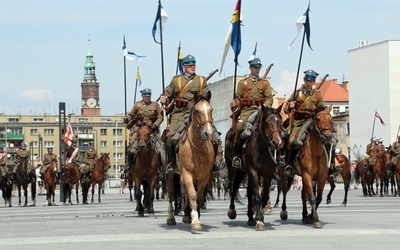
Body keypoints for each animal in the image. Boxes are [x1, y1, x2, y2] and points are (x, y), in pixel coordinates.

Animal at [166, 92, 216, 230]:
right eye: (197, 111)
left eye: (211, 110)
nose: (208, 133)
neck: (197, 147)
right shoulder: (186, 173)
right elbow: (192, 194)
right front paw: (195, 222)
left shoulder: (204, 175)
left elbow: (198, 196)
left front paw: (195, 216)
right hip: (171, 174)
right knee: (171, 192)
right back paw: (171, 218)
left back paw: (187, 216)